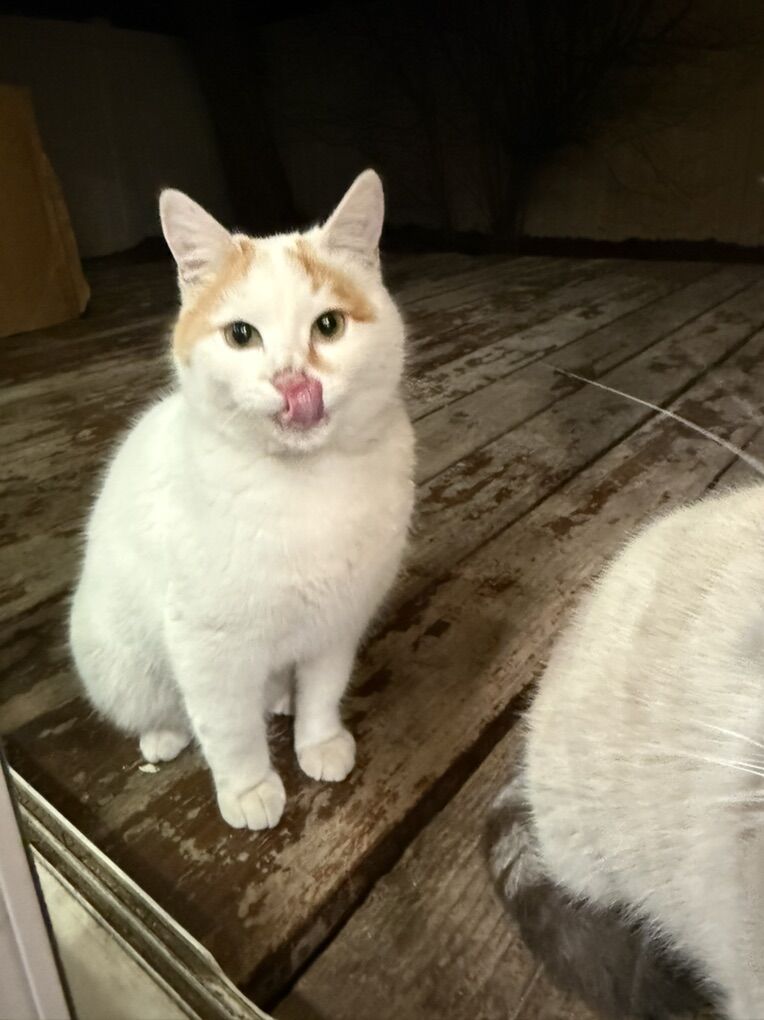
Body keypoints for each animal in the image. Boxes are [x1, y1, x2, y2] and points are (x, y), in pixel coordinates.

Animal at [70, 170, 415, 831]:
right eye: (240, 336)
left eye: (328, 327)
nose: (292, 380)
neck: (304, 486)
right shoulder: (208, 648)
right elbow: (228, 730)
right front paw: (250, 789)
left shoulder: (339, 619)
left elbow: (324, 690)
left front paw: (318, 741)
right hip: (116, 658)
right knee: (162, 710)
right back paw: (163, 735)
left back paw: (281, 698)